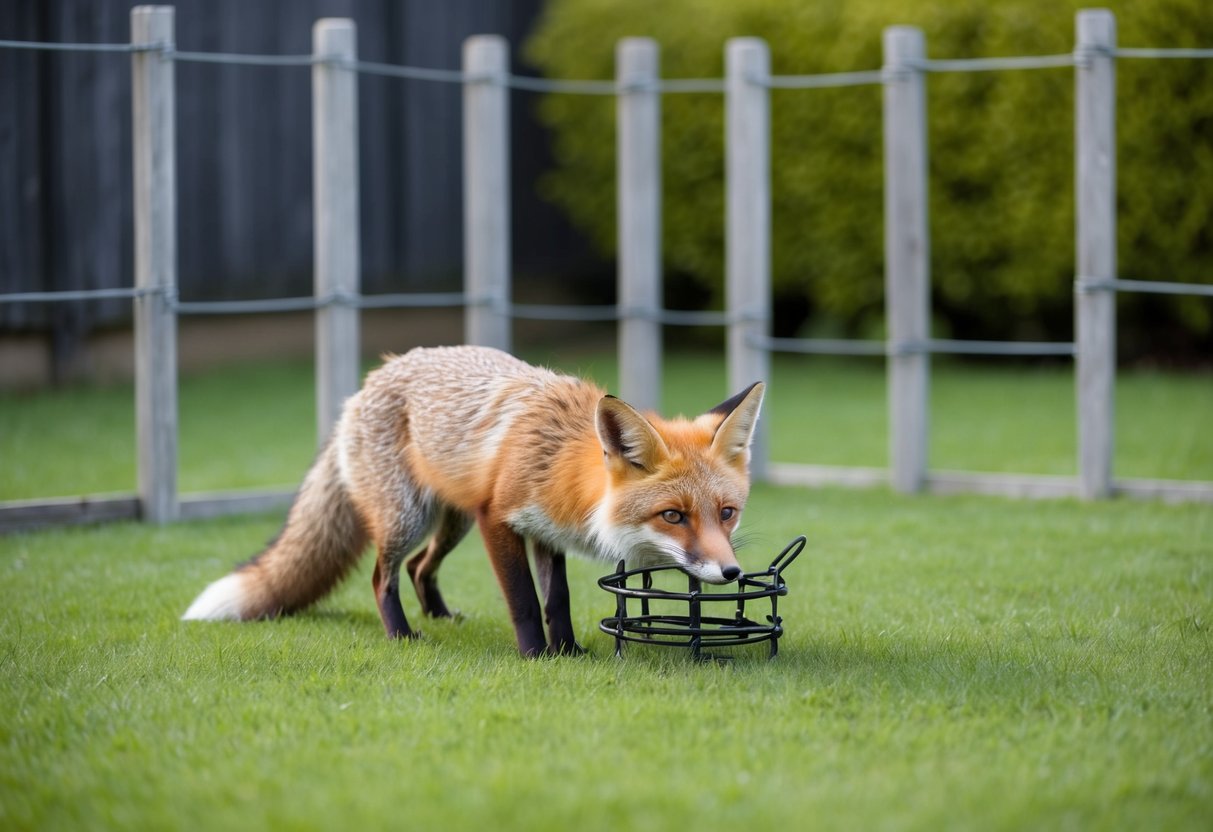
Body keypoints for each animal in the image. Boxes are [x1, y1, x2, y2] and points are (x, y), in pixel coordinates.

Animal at [182, 345, 765, 657]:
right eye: (673, 516)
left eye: (727, 513)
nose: (732, 573)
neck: (558, 459)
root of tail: (369, 381)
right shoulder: (498, 520)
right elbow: (525, 600)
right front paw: (537, 657)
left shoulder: (544, 530)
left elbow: (558, 599)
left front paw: (569, 650)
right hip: (410, 517)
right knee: (382, 576)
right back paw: (403, 633)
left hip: (451, 521)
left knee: (420, 568)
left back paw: (440, 615)